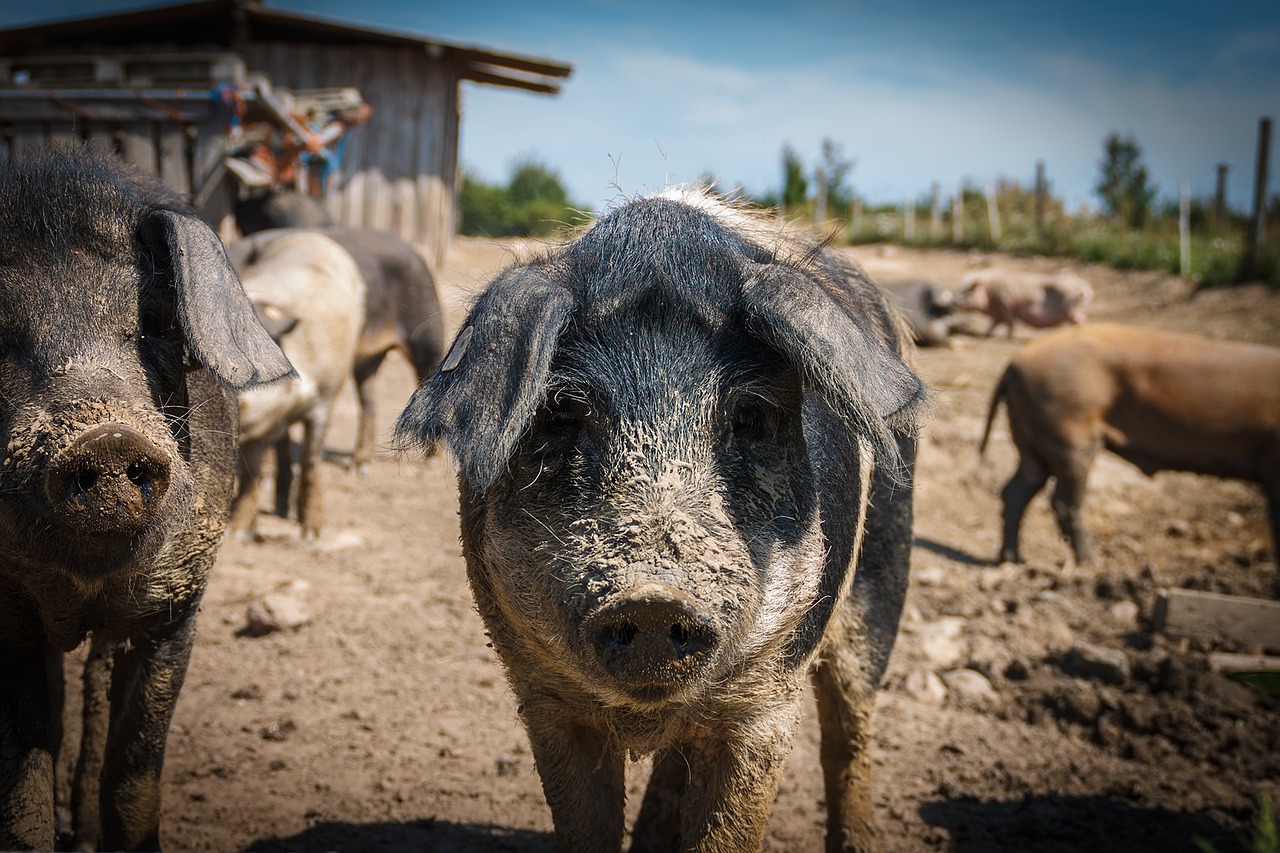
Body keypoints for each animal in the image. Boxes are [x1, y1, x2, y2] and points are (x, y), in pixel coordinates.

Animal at [0, 147, 292, 850]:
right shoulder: (7, 612)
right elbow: (22, 782)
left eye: (153, 323)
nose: (106, 438)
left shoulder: (176, 601)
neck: (79, 588)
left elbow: (134, 772)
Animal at [395, 188, 927, 852]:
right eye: (562, 414)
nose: (651, 599)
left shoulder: (766, 704)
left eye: (750, 416)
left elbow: (730, 829)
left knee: (850, 724)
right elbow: (585, 826)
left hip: (884, 576)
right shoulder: (543, 694)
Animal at [958, 268, 1093, 337]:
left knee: (1080, 321)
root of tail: (1085, 287)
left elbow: (1010, 322)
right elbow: (993, 324)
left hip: (1072, 310)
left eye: (967, 293)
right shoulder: (998, 312)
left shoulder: (1005, 306)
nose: (955, 301)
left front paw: (1009, 337)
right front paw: (984, 334)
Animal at [980, 323, 1280, 586]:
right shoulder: (1271, 459)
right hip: (1068, 435)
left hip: (1031, 442)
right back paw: (1091, 564)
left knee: (1015, 491)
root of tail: (1015, 362)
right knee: (1063, 501)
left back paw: (1013, 560)